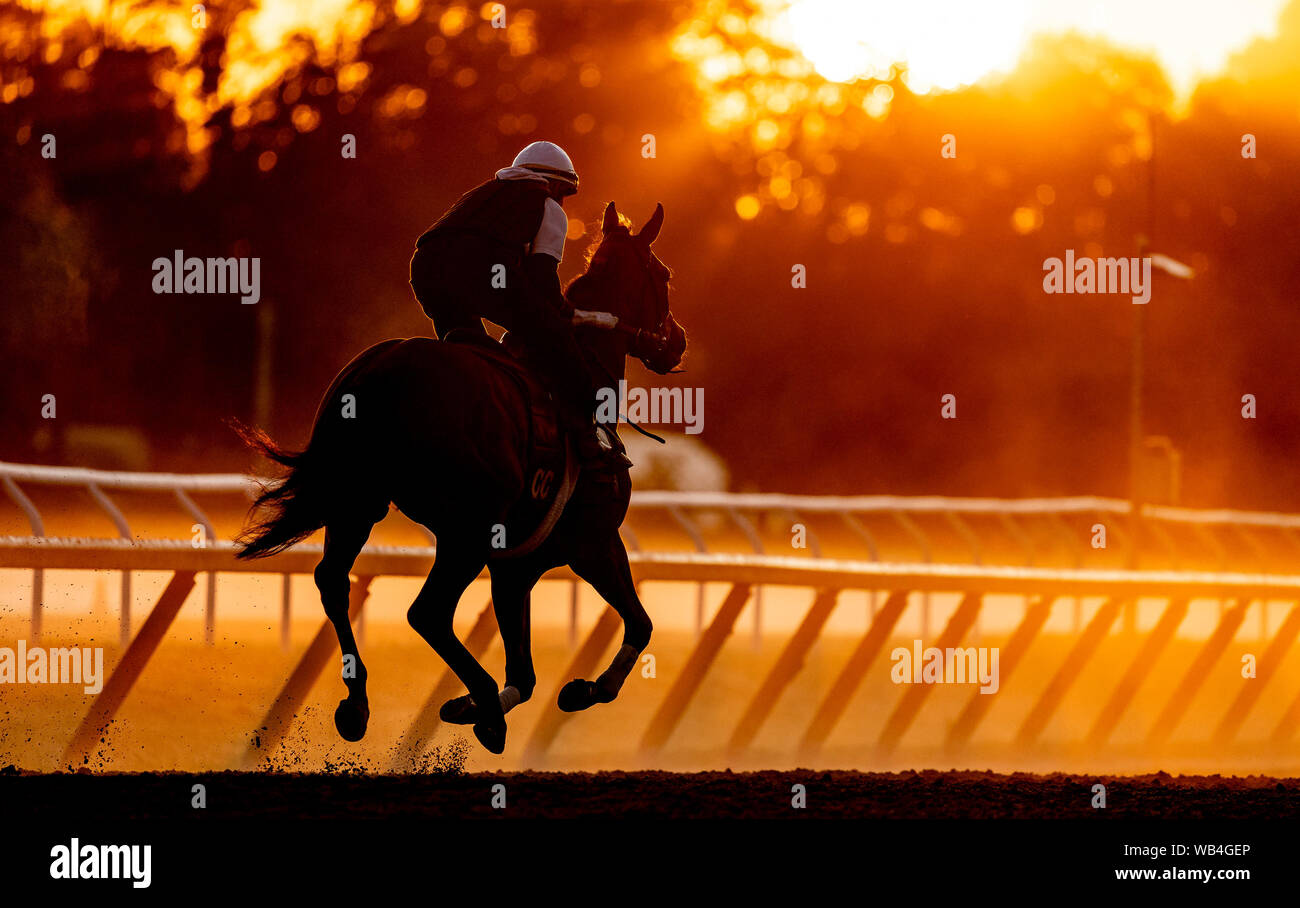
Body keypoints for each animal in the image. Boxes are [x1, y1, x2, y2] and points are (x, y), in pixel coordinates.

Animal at [234, 201, 686, 755]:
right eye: (663, 274)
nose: (678, 341)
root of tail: (379, 368)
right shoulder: (593, 543)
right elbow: (640, 625)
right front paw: (583, 689)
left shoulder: (517, 566)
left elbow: (526, 674)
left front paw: (463, 704)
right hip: (466, 529)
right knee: (426, 612)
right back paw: (487, 709)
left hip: (359, 504)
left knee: (333, 582)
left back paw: (359, 704)